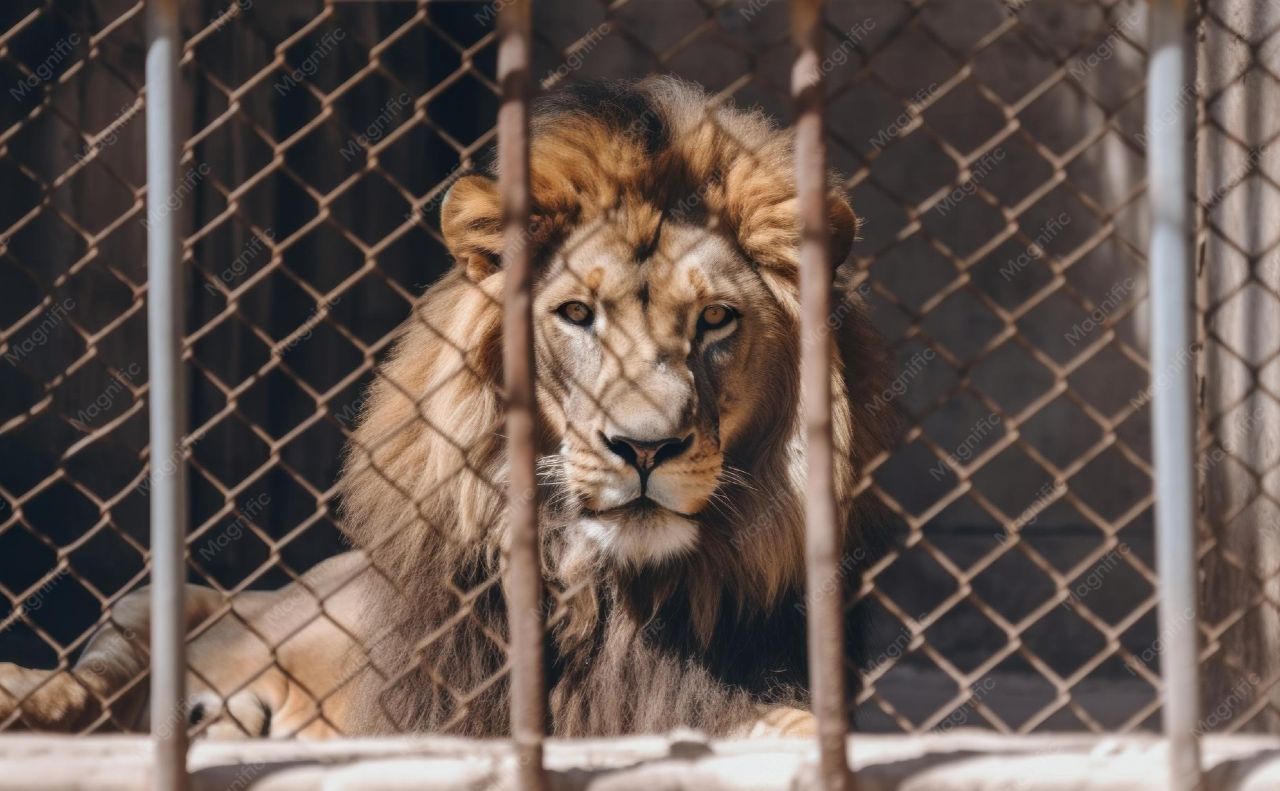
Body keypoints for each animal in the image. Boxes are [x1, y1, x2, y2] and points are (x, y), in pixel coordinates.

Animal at [0, 77, 891, 740]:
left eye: (715, 320)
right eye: (577, 314)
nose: (644, 449)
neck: (606, 595)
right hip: (173, 605)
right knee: (99, 680)